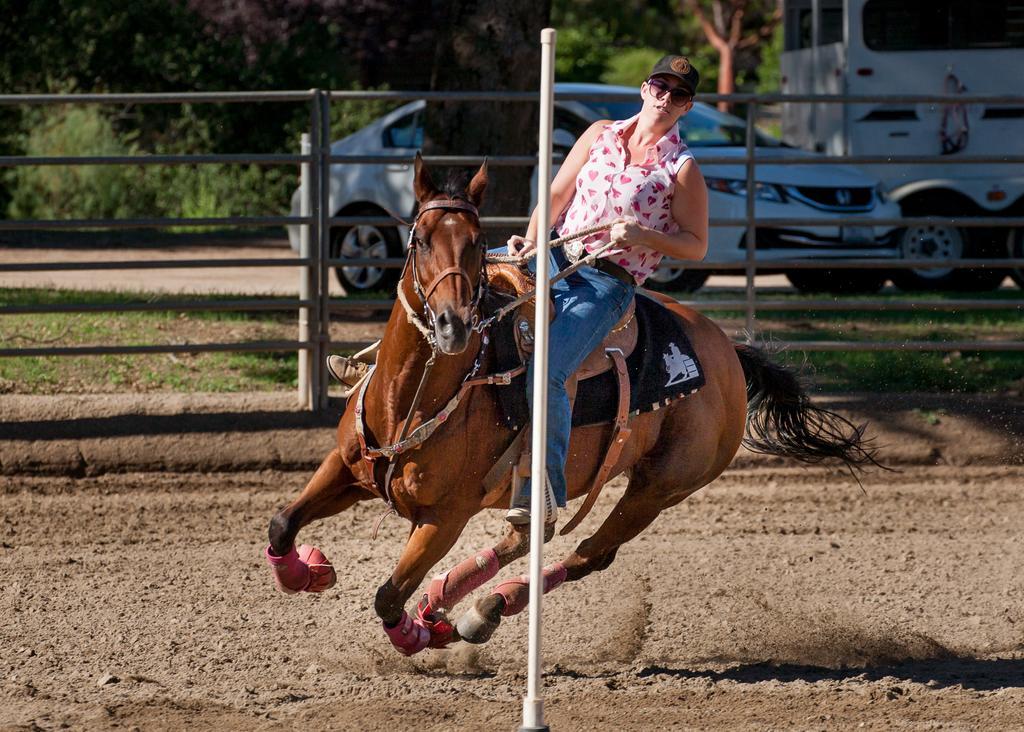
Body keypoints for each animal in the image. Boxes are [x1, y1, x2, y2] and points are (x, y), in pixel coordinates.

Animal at [262, 153, 872, 651]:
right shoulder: (346, 468)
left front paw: (417, 633)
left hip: (661, 487)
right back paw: (447, 600)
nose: (453, 325)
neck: (408, 401)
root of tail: (727, 352)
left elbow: (388, 595)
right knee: (526, 534)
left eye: (476, 243)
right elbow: (282, 522)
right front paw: (307, 572)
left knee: (587, 553)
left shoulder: (446, 516)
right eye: (419, 239)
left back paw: (481, 609)